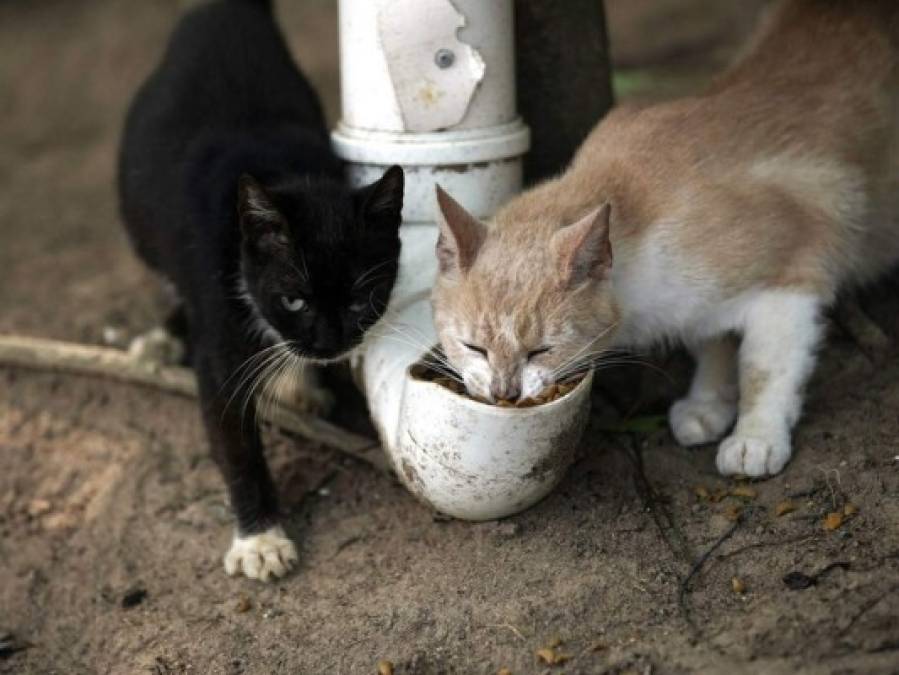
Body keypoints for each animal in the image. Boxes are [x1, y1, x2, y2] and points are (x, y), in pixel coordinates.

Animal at [117, 0, 404, 580]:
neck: (286, 173)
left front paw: (299, 377)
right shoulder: (218, 338)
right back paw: (162, 339)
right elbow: (235, 445)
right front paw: (260, 540)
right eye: (294, 299)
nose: (328, 345)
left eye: (360, 300)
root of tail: (221, 11)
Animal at [432, 0, 896, 476]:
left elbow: (764, 367)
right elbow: (712, 340)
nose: (504, 394)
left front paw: (756, 437)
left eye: (541, 351)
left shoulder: (794, 276)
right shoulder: (700, 301)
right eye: (474, 347)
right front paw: (708, 402)